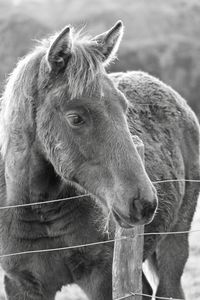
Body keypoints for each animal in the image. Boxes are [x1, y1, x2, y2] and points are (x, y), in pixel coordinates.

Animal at [0, 21, 198, 300]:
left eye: (124, 107)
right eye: (75, 118)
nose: (144, 203)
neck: (37, 210)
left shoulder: (101, 278)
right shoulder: (21, 284)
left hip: (174, 241)